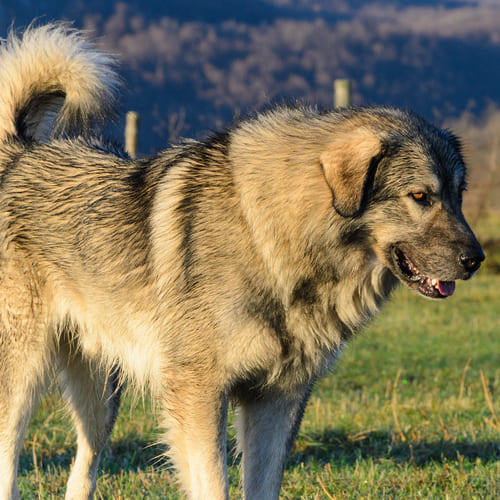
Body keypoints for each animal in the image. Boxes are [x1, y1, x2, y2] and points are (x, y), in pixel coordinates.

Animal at [0, 22, 484, 500]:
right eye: (420, 197)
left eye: (457, 196)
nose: (476, 260)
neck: (267, 238)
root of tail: (19, 152)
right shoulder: (199, 393)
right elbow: (214, 484)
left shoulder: (277, 400)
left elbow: (263, 484)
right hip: (25, 380)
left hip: (101, 398)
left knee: (82, 470)